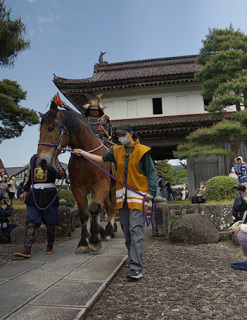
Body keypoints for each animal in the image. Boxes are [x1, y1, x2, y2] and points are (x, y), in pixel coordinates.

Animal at [36, 100, 116, 252]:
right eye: (40, 131)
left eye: (50, 128)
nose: (42, 161)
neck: (86, 157)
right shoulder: (77, 188)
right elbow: (84, 213)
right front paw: (84, 242)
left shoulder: (103, 183)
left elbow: (94, 207)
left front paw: (94, 241)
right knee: (107, 206)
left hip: (114, 188)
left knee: (112, 207)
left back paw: (109, 230)